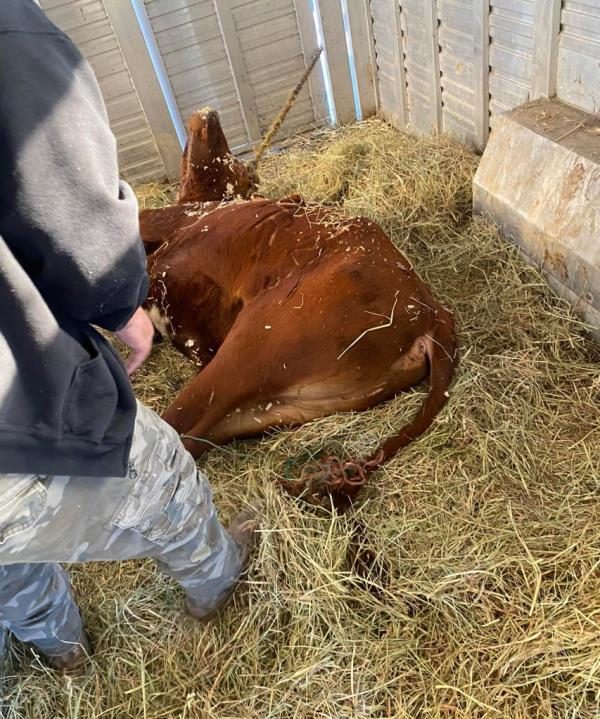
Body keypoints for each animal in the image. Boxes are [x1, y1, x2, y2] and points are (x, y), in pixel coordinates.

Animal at [141, 108, 460, 512]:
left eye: (232, 163)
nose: (209, 114)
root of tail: (433, 312)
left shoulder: (169, 225)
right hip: (283, 403)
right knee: (198, 437)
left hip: (258, 344)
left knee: (181, 426)